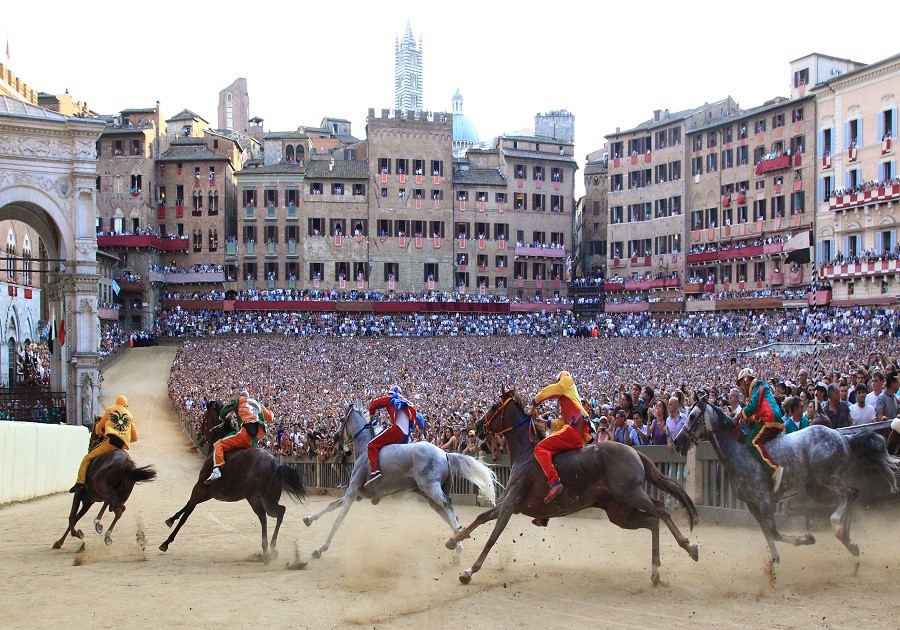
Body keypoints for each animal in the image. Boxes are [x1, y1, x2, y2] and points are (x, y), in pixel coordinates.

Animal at [156, 400, 308, 564]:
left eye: (204, 419)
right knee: (280, 511)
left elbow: (187, 513)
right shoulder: (208, 493)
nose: (200, 436)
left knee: (263, 517)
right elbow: (187, 505)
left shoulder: (200, 488)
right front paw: (170, 520)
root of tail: (275, 464)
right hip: (270, 498)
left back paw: (265, 551)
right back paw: (273, 548)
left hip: (254, 497)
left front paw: (166, 542)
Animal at [302, 404, 500, 564]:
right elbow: (332, 505)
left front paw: (320, 549)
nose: (334, 437)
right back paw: (457, 546)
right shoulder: (358, 494)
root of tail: (445, 454)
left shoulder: (352, 491)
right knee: (449, 514)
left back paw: (457, 544)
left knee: (449, 506)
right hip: (431, 496)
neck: (364, 448)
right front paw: (308, 519)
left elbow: (338, 519)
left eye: (342, 419)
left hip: (431, 489)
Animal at [446, 390, 700, 588]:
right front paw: (454, 539)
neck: (526, 453)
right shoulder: (514, 504)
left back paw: (689, 547)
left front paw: (469, 571)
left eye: (493, 406)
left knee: (661, 511)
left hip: (631, 493)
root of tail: (635, 452)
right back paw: (655, 571)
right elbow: (481, 517)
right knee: (652, 521)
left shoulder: (511, 503)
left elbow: (493, 537)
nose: (477, 427)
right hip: (619, 511)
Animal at [676, 392, 900, 572]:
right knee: (849, 495)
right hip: (819, 486)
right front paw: (773, 562)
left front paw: (806, 539)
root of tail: (843, 437)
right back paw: (848, 541)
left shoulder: (764, 498)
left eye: (693, 416)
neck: (738, 453)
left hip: (826, 476)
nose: (677, 442)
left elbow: (774, 532)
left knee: (851, 493)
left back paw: (839, 529)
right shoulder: (751, 503)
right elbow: (767, 532)